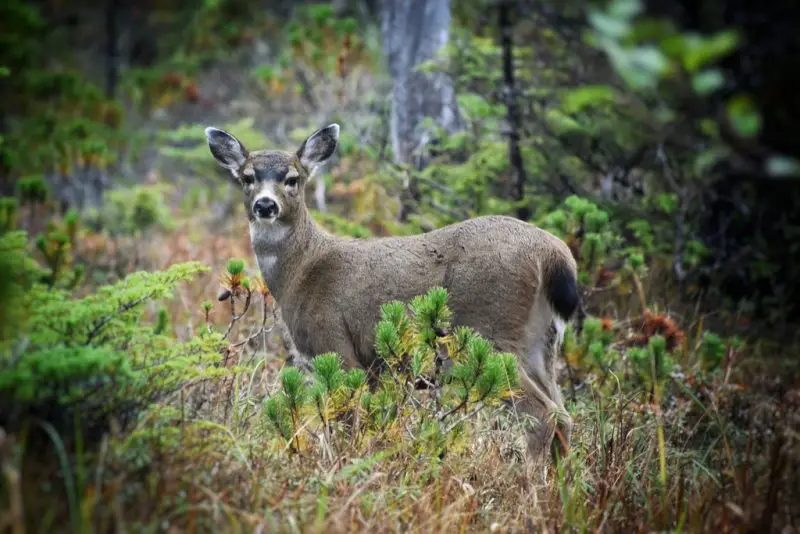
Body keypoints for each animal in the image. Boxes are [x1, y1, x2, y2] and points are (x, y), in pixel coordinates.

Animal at [205, 123, 580, 464]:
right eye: (247, 177)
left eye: (292, 179)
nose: (265, 205)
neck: (303, 272)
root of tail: (553, 253)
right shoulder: (372, 370)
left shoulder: (337, 347)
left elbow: (348, 426)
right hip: (541, 341)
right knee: (564, 415)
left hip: (490, 333)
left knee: (543, 415)